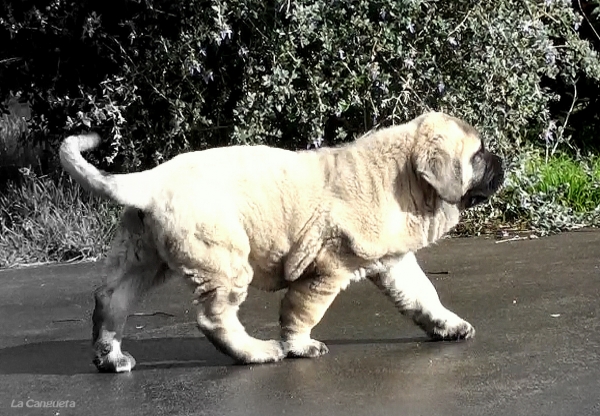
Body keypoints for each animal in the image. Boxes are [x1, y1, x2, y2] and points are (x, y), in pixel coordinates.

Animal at [59, 111, 502, 374]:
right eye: (479, 156)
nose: (502, 161)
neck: (401, 175)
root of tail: (153, 180)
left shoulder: (394, 262)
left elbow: (424, 295)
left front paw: (446, 324)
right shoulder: (326, 270)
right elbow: (302, 310)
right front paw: (299, 346)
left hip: (143, 256)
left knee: (111, 299)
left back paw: (110, 357)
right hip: (224, 263)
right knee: (214, 318)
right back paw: (255, 352)